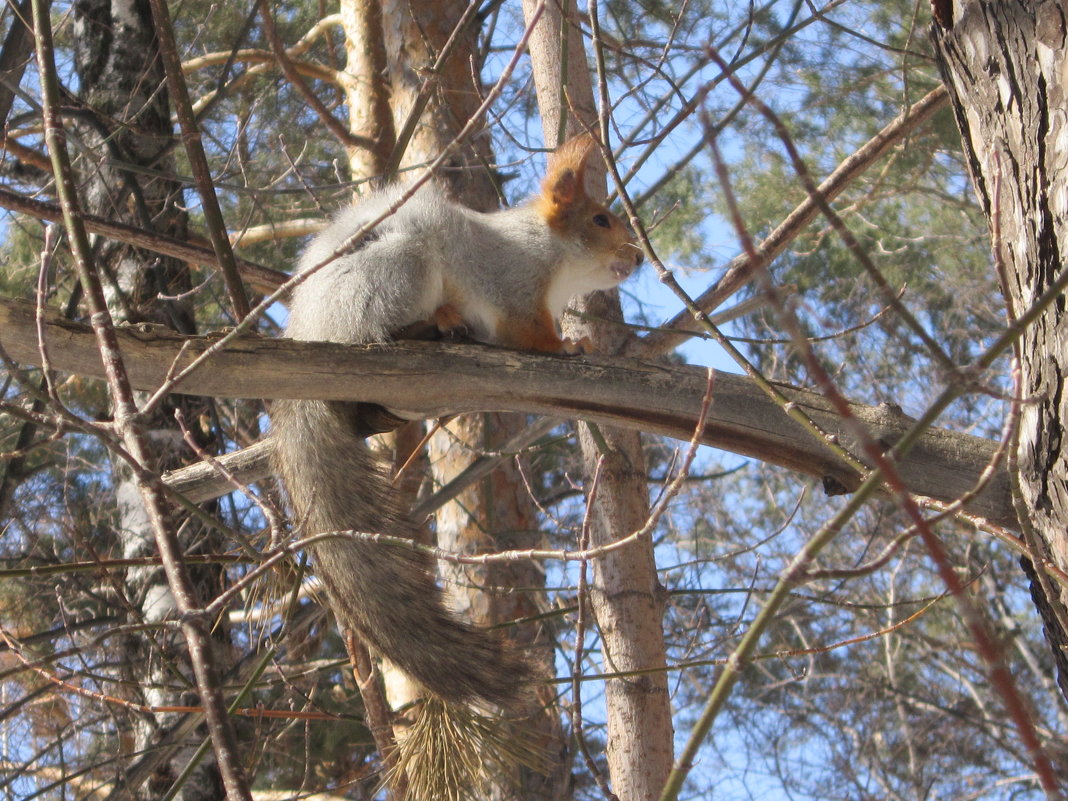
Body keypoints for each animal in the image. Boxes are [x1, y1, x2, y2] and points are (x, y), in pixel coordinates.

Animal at [271, 133, 640, 764]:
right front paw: (570, 345)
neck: (549, 254)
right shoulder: (513, 292)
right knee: (381, 328)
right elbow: (530, 336)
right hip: (398, 270)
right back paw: (424, 327)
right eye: (600, 219)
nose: (637, 259)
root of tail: (307, 328)